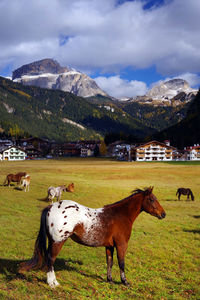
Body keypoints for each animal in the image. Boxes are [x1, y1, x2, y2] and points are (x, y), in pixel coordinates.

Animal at [19, 186, 166, 288]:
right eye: (152, 199)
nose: (163, 214)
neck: (120, 215)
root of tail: (51, 207)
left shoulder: (109, 246)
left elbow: (110, 262)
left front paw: (110, 280)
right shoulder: (121, 245)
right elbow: (121, 263)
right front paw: (125, 282)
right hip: (58, 242)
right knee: (50, 260)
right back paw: (53, 283)